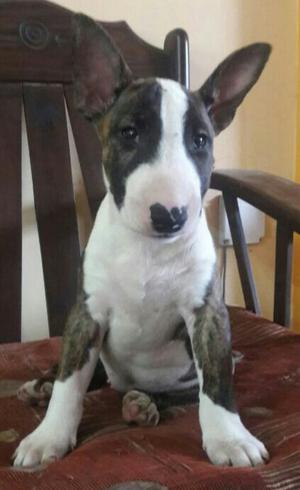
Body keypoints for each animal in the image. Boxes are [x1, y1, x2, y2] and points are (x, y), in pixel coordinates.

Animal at [13, 14, 272, 468]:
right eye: (129, 132)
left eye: (200, 140)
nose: (169, 215)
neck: (148, 250)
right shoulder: (87, 312)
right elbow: (70, 383)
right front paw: (48, 436)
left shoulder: (207, 314)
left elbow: (216, 385)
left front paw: (230, 439)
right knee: (86, 374)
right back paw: (43, 387)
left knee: (187, 393)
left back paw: (144, 403)